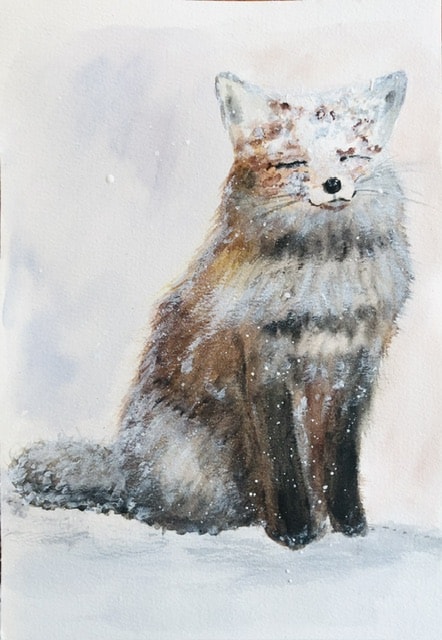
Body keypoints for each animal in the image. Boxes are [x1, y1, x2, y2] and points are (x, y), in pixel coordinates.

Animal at [10, 71, 412, 549]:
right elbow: (284, 464)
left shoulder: (355, 369)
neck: (324, 280)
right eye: (293, 163)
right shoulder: (267, 364)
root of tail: (124, 468)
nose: (332, 185)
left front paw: (351, 528)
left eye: (349, 155)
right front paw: (296, 534)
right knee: (149, 509)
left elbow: (341, 464)